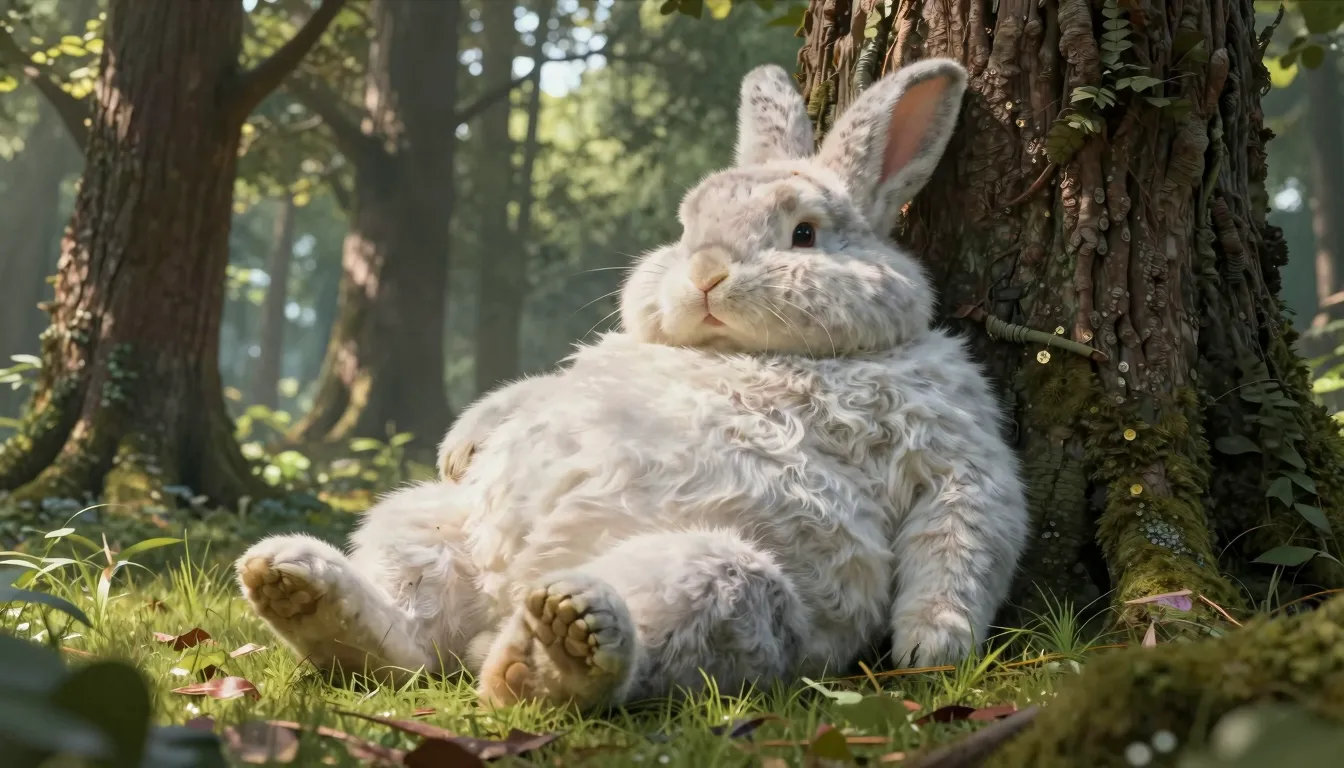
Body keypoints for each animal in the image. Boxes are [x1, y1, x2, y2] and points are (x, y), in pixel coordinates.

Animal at [236, 58, 1029, 712]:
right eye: (686, 228)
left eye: (803, 234)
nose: (704, 273)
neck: (758, 350)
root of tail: (498, 608)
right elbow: (529, 390)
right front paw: (459, 448)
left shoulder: (952, 431)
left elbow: (965, 523)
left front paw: (931, 646)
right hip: (431, 525)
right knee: (406, 640)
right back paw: (304, 590)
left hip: (723, 581)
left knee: (612, 646)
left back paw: (562, 647)